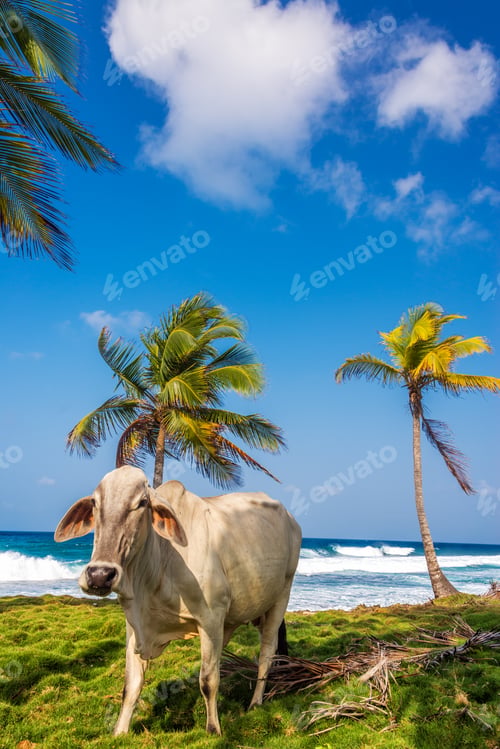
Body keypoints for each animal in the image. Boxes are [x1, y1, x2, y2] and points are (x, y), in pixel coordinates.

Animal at [54, 466, 301, 736]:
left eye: (142, 503)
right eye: (95, 503)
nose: (100, 575)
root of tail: (290, 518)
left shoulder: (211, 618)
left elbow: (208, 680)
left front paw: (213, 730)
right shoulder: (135, 625)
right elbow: (131, 686)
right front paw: (119, 731)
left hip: (282, 594)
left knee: (267, 651)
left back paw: (256, 702)